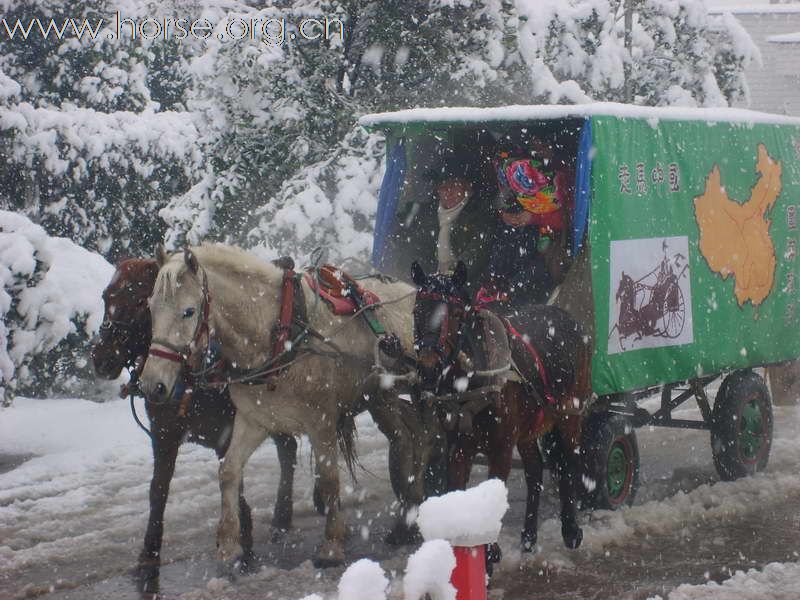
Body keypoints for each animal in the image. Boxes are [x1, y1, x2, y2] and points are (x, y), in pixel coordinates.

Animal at [90, 258, 306, 584]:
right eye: (106, 297)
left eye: (140, 302)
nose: (100, 358)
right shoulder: (164, 434)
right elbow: (158, 490)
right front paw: (149, 553)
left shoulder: (228, 433)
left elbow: (234, 479)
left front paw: (242, 540)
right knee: (288, 448)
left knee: (288, 451)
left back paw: (283, 516)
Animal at [141, 244, 424, 568]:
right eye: (150, 308)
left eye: (188, 312)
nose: (152, 385)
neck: (279, 337)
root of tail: (411, 290)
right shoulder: (255, 419)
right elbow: (229, 471)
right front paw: (229, 544)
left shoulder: (321, 421)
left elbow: (329, 479)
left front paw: (331, 545)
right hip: (381, 397)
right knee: (412, 434)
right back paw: (409, 510)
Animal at [412, 260, 588, 556]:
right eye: (417, 310)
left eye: (456, 313)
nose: (428, 365)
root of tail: (565, 315)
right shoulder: (458, 447)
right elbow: (457, 490)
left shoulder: (502, 447)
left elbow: (494, 492)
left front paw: (490, 552)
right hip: (530, 427)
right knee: (535, 471)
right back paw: (529, 535)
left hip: (570, 413)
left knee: (568, 463)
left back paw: (571, 529)